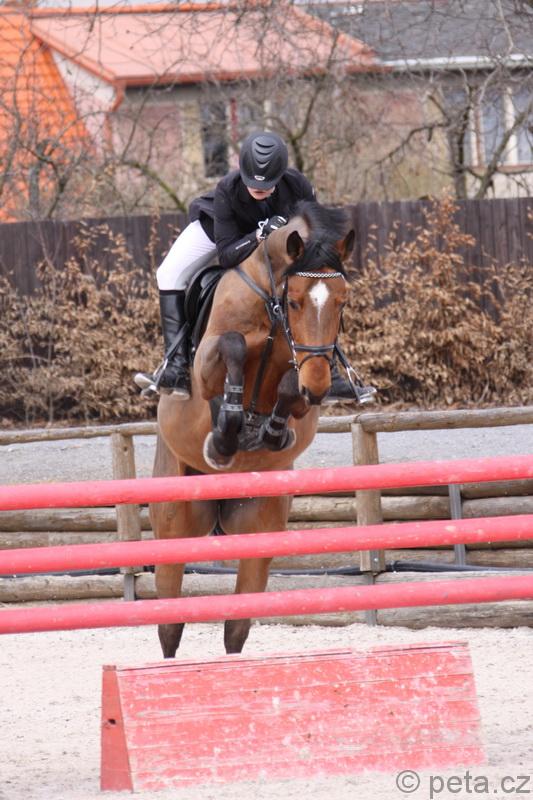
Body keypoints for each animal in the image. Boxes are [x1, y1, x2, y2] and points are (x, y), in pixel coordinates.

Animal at [150, 200, 354, 656]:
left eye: (342, 302)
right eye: (293, 302)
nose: (320, 384)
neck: (270, 303)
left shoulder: (302, 384)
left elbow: (289, 387)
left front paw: (272, 431)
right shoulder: (207, 367)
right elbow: (234, 347)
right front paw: (227, 430)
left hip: (258, 525)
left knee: (235, 627)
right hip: (176, 523)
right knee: (169, 625)